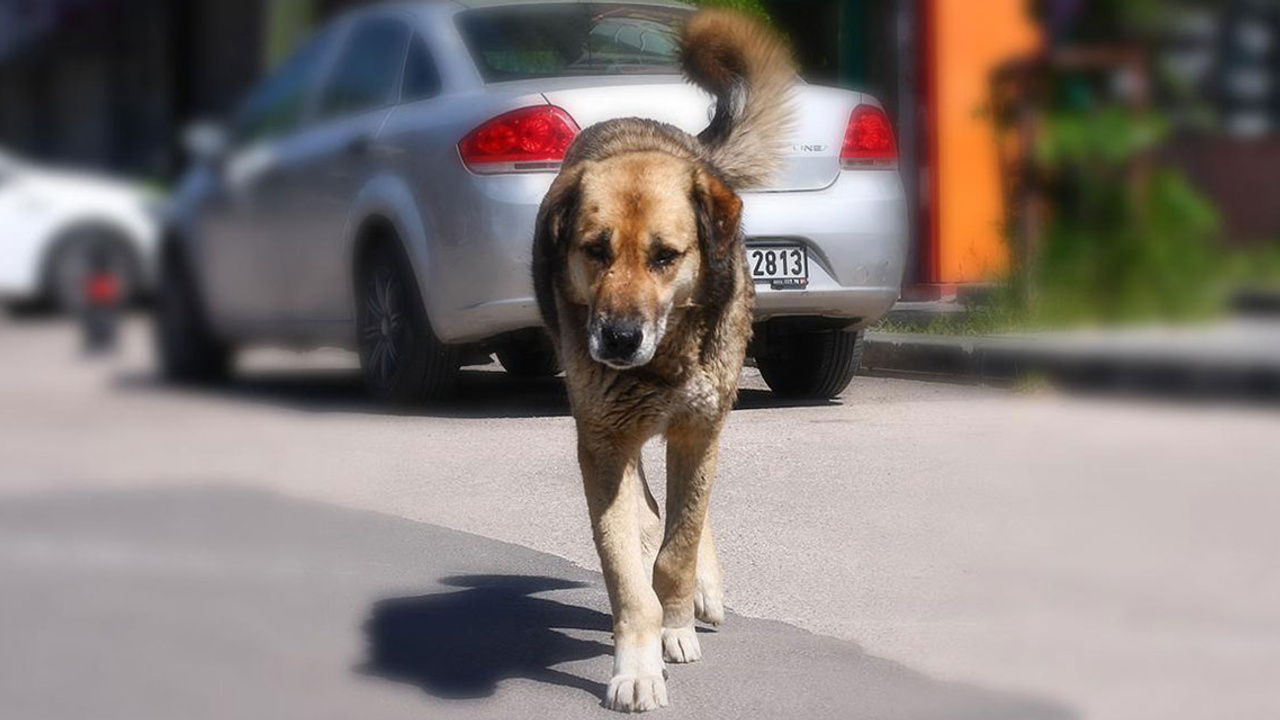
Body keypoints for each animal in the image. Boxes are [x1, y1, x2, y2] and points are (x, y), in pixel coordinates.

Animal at [527, 8, 788, 707]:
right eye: (594, 249)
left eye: (665, 256)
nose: (617, 338)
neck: (663, 359)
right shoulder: (602, 442)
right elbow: (627, 570)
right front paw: (637, 664)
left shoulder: (698, 430)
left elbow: (679, 547)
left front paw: (675, 623)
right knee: (647, 513)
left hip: (700, 426)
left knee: (684, 519)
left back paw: (699, 589)